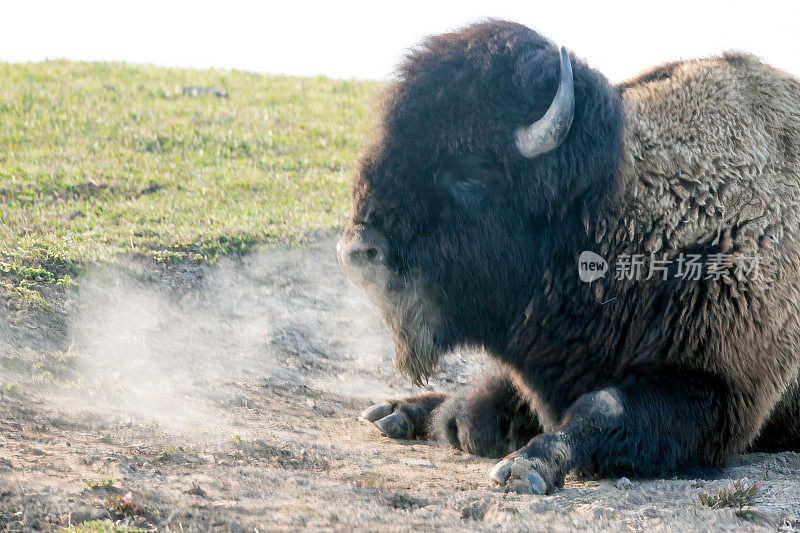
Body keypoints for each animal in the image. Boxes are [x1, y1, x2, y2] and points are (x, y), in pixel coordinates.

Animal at [334, 20, 800, 494]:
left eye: (473, 172)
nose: (358, 250)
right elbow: (476, 412)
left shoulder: (721, 389)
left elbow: (603, 406)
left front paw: (524, 467)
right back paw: (391, 411)